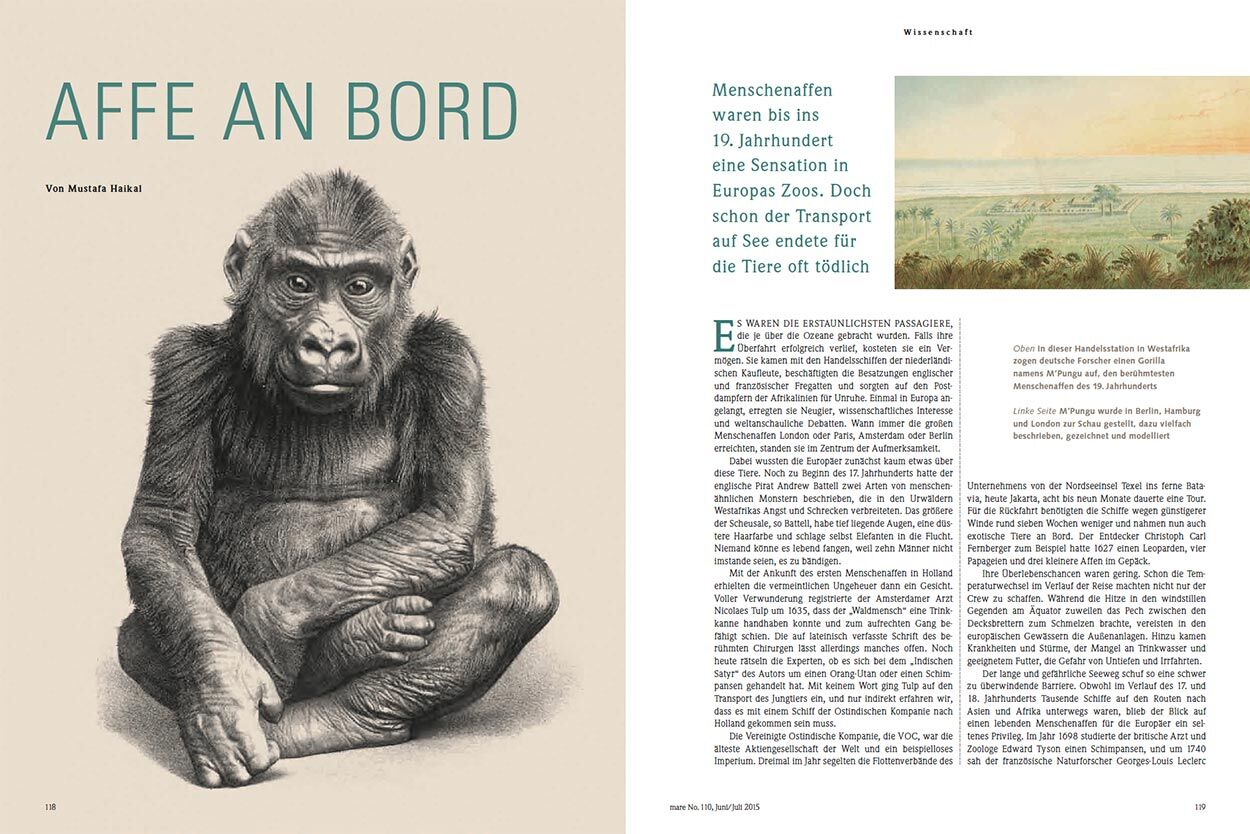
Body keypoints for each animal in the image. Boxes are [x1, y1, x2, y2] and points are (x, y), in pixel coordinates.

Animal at [115, 170, 558, 788]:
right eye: (299, 283)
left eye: (360, 286)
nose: (327, 341)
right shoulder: (183, 371)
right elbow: (162, 525)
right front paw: (220, 692)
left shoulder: (452, 364)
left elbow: (450, 518)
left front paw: (269, 627)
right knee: (137, 637)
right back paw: (359, 645)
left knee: (518, 580)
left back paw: (345, 703)